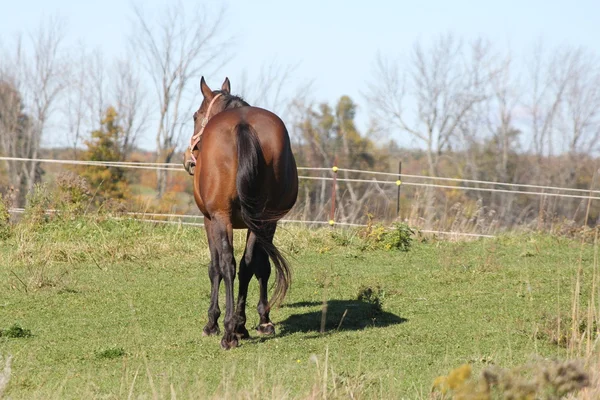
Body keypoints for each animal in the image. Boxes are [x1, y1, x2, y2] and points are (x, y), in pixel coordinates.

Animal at [180, 76, 298, 348]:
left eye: (195, 116)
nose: (189, 160)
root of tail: (243, 125)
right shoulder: (266, 222)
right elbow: (257, 266)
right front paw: (259, 321)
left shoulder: (209, 220)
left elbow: (215, 267)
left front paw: (213, 323)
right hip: (264, 219)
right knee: (249, 264)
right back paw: (243, 325)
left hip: (222, 218)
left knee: (228, 264)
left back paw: (228, 332)